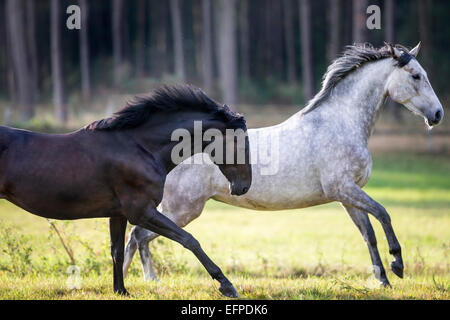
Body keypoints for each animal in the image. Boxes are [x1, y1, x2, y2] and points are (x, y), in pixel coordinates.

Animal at [0, 85, 251, 298]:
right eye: (241, 144)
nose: (243, 186)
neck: (140, 148)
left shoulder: (118, 214)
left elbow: (117, 251)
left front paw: (120, 290)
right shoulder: (141, 212)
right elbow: (189, 240)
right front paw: (226, 285)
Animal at [122, 43, 442, 288]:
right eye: (416, 76)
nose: (438, 114)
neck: (340, 124)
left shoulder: (347, 196)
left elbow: (369, 235)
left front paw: (383, 281)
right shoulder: (343, 189)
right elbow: (384, 214)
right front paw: (398, 265)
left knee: (136, 237)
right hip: (182, 209)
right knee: (138, 236)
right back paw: (145, 281)